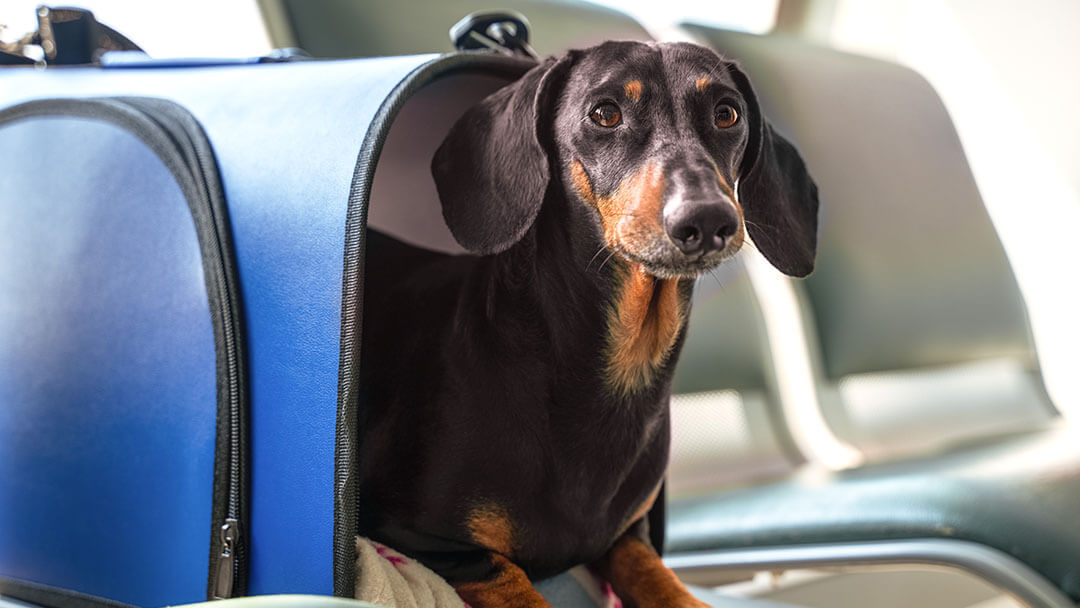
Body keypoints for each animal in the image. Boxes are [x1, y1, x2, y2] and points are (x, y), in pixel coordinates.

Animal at [356, 40, 816, 604]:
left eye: (727, 114)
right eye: (605, 113)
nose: (708, 220)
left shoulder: (627, 537)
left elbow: (659, 578)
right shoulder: (419, 536)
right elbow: (510, 578)